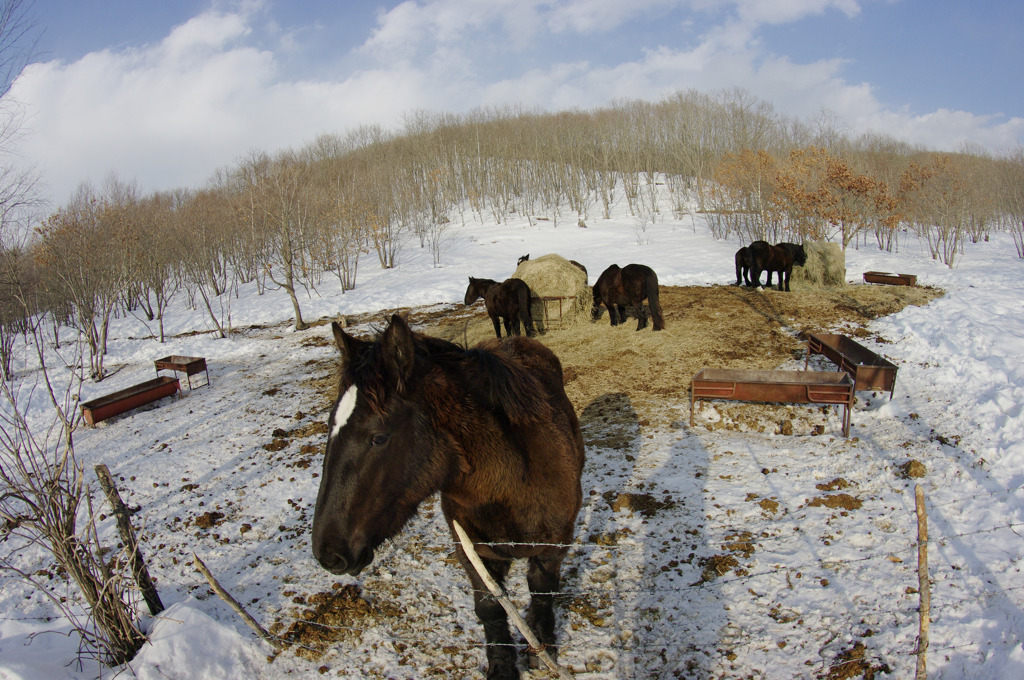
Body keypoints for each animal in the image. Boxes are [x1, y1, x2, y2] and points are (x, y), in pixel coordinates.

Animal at [311, 317, 585, 680]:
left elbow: (542, 591)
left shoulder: (553, 546)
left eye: (378, 437)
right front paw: (502, 667)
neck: (516, 483)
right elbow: (490, 607)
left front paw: (543, 646)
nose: (328, 553)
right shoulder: (472, 552)